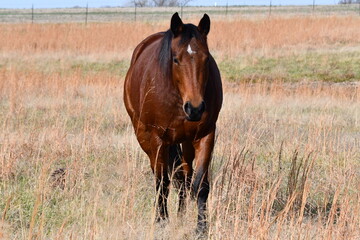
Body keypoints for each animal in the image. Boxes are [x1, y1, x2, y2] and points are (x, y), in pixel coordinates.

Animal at [124, 12, 222, 232]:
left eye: (206, 59)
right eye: (176, 59)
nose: (195, 108)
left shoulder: (205, 135)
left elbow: (200, 184)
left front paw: (201, 228)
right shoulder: (157, 139)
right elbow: (162, 183)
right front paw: (161, 221)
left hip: (185, 142)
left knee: (184, 176)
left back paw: (182, 212)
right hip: (145, 137)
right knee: (163, 176)